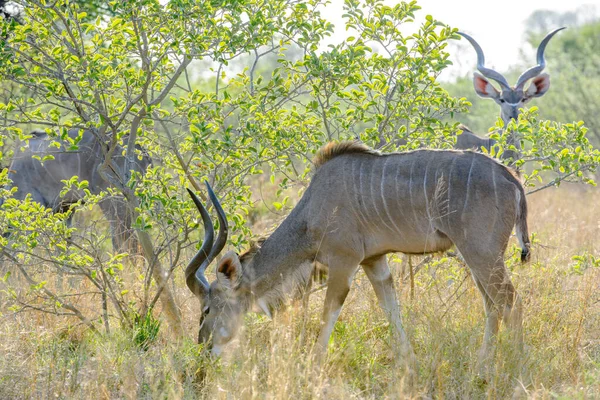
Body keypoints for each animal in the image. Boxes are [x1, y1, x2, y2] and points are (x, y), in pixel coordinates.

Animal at [184, 141, 528, 368]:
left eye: (206, 309)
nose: (204, 346)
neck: (314, 208)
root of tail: (510, 177)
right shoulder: (374, 261)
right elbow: (391, 309)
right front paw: (410, 365)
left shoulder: (344, 262)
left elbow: (328, 314)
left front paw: (314, 367)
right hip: (479, 257)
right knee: (492, 305)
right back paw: (482, 365)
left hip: (481, 253)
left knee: (510, 300)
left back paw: (515, 366)